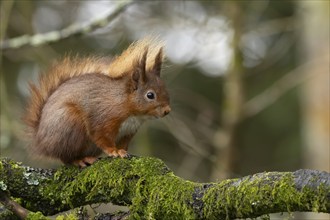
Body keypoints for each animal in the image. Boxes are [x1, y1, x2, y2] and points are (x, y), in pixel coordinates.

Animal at [24, 37, 171, 167]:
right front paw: (114, 151)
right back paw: (80, 160)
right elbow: (101, 137)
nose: (167, 111)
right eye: (150, 95)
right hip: (70, 123)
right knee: (66, 157)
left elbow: (123, 145)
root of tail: (41, 142)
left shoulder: (128, 132)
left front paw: (122, 151)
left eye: (165, 88)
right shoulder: (103, 119)